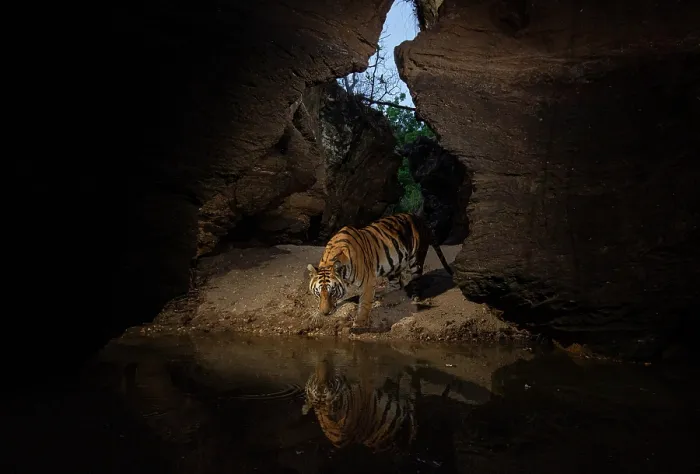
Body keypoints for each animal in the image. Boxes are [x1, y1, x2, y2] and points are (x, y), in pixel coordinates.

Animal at [306, 212, 453, 331]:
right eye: (318, 293)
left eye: (332, 292)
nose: (325, 313)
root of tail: (420, 219)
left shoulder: (368, 282)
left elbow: (365, 304)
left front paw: (359, 323)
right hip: (394, 266)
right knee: (396, 285)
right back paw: (380, 293)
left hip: (416, 259)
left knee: (416, 279)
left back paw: (415, 297)